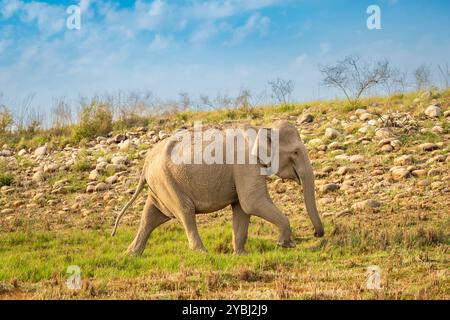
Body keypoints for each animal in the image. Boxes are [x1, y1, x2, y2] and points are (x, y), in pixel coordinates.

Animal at [111, 120, 324, 255]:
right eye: (295, 152)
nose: (316, 234)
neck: (261, 128)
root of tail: (146, 162)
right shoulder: (245, 165)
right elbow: (252, 202)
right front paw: (286, 245)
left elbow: (242, 208)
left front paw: (241, 255)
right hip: (166, 182)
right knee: (185, 211)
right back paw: (202, 253)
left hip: (160, 184)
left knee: (151, 216)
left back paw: (130, 254)